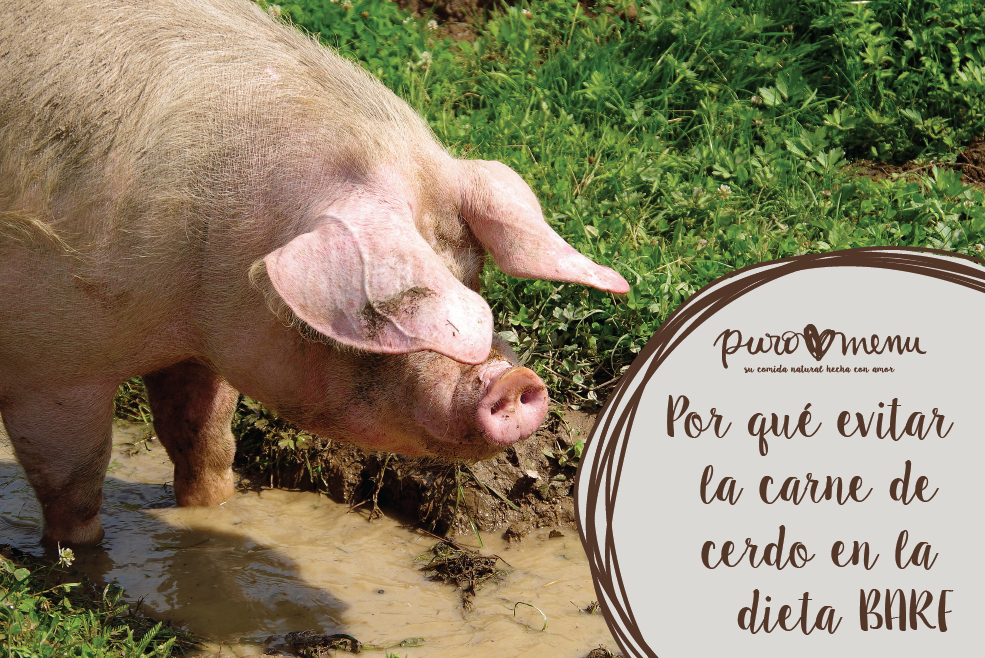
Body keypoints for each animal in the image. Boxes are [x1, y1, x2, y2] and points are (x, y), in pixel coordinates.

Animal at [0, 0, 628, 547]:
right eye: (376, 313)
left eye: (472, 273)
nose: (513, 381)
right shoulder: (49, 366)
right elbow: (75, 479)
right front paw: (78, 558)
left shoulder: (206, 344)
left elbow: (205, 440)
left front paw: (212, 513)